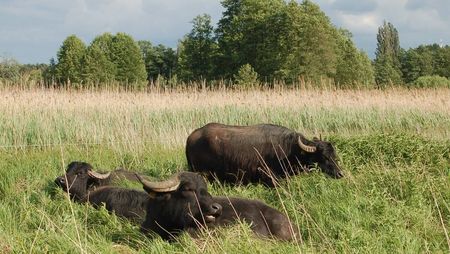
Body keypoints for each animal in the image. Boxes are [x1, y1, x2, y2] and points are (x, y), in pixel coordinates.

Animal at [186, 122, 344, 186]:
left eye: (334, 155)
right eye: (324, 156)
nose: (340, 173)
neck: (288, 149)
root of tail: (191, 137)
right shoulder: (272, 179)